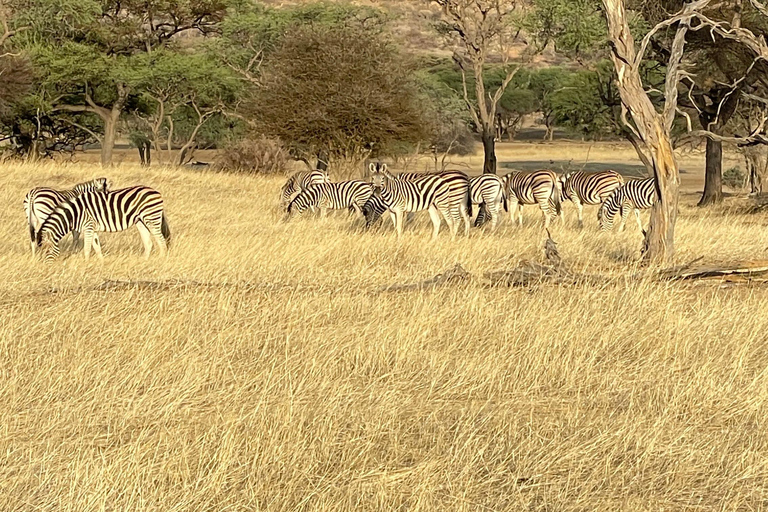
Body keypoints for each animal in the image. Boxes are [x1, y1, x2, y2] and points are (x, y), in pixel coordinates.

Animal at [36, 186, 171, 262]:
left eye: (47, 252)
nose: (46, 266)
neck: (75, 213)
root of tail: (155, 191)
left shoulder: (88, 226)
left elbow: (87, 248)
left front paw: (85, 264)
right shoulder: (92, 228)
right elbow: (97, 247)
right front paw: (101, 264)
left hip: (151, 217)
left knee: (161, 240)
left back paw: (161, 260)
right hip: (140, 220)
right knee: (148, 243)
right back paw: (144, 262)